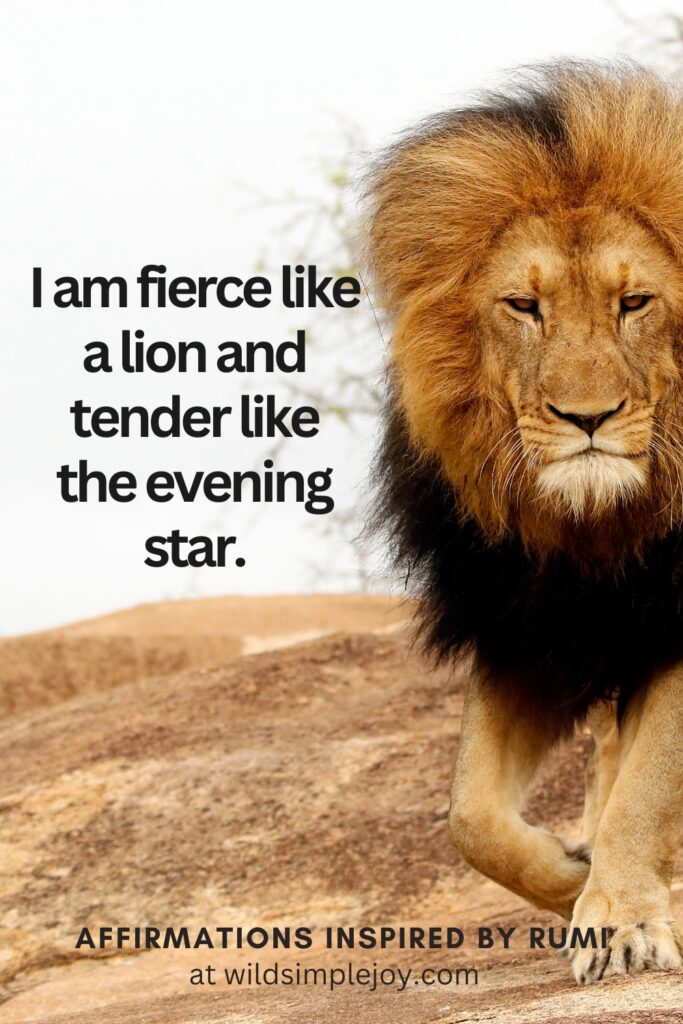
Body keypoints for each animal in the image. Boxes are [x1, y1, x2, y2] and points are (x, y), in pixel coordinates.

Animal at [366, 61, 683, 984]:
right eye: (522, 306)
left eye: (634, 302)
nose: (587, 418)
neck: (597, 530)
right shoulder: (527, 622)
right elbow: (470, 817)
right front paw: (576, 878)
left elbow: (652, 777)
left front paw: (622, 919)